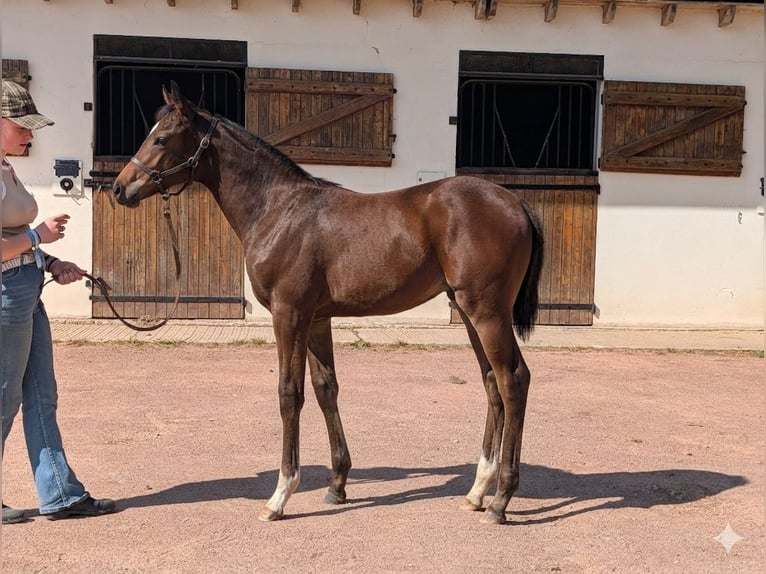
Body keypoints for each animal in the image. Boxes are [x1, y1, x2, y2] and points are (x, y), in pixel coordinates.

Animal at [112, 81, 544, 525]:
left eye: (161, 138)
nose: (119, 188)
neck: (278, 211)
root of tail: (516, 203)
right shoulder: (317, 319)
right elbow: (325, 390)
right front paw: (337, 485)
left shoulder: (289, 315)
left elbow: (290, 394)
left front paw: (280, 495)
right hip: (470, 313)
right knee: (492, 383)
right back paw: (477, 492)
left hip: (487, 312)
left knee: (513, 381)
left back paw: (501, 500)